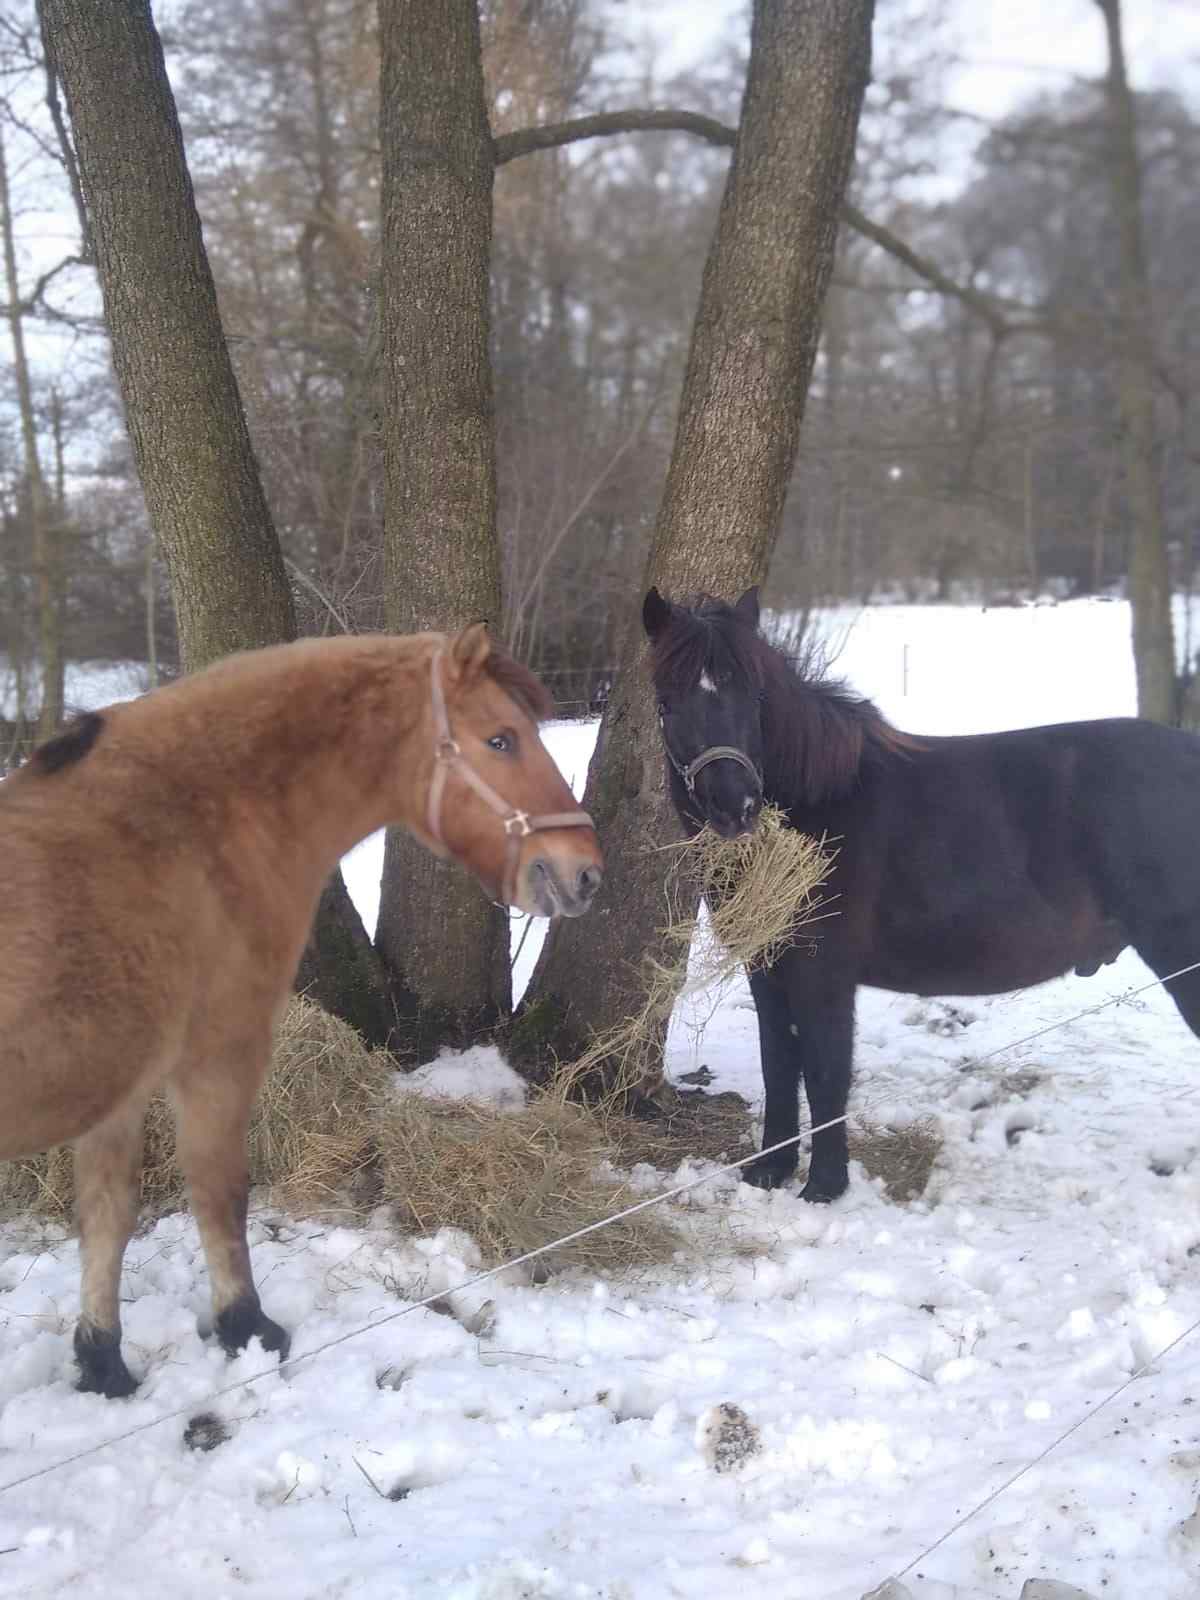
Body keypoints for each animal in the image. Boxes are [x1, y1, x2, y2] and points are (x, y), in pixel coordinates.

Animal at [0, 624, 601, 1401]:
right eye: (501, 739)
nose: (585, 871)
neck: (186, 827)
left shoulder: (121, 1090)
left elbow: (108, 1217)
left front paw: (103, 1363)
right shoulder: (219, 1056)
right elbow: (219, 1190)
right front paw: (246, 1328)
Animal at [649, 588, 1200, 1203]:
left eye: (756, 695)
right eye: (667, 704)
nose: (735, 805)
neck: (819, 807)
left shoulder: (824, 974)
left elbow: (825, 1071)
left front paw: (824, 1186)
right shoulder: (767, 967)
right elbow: (779, 1061)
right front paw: (769, 1172)